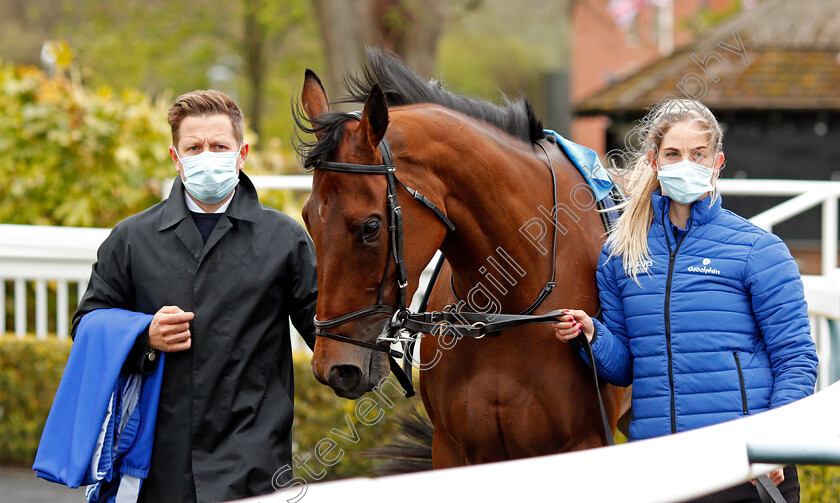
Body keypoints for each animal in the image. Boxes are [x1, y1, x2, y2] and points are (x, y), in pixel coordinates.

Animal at [296, 49, 624, 466]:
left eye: (371, 226)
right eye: (307, 217)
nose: (336, 368)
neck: (506, 311)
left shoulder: (584, 442)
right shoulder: (454, 448)